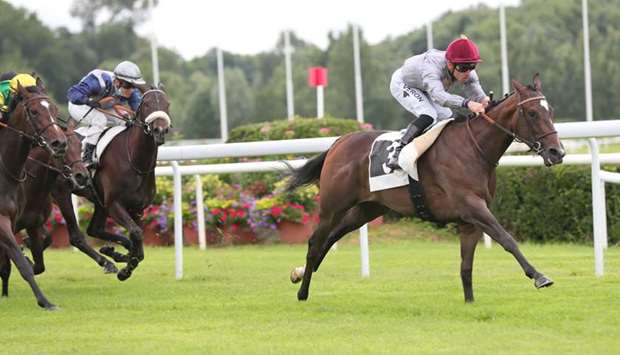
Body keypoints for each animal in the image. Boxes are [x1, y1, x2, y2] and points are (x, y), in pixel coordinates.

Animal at [0, 82, 67, 310]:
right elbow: (20, 262)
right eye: (34, 111)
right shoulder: (1, 222)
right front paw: (45, 301)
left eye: (54, 109)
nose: (59, 143)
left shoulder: (13, 220)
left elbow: (22, 262)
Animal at [288, 74, 564, 304]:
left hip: (367, 208)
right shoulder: (473, 207)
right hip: (333, 206)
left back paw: (299, 273)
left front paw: (470, 302)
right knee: (315, 241)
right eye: (532, 113)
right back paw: (302, 292)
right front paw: (539, 276)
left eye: (550, 111)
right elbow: (507, 239)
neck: (474, 149)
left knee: (332, 236)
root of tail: (338, 142)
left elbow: (466, 265)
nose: (557, 152)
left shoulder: (469, 220)